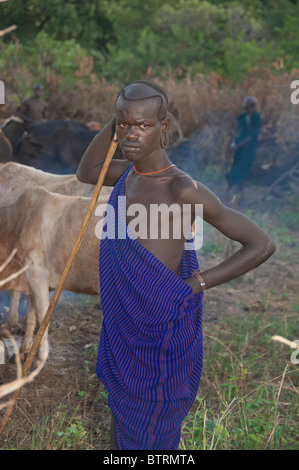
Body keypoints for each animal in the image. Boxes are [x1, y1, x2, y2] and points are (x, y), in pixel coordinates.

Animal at [0, 185, 109, 366]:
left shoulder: (37, 275)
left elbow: (42, 317)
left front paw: (37, 360)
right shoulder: (29, 281)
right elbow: (31, 317)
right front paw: (23, 353)